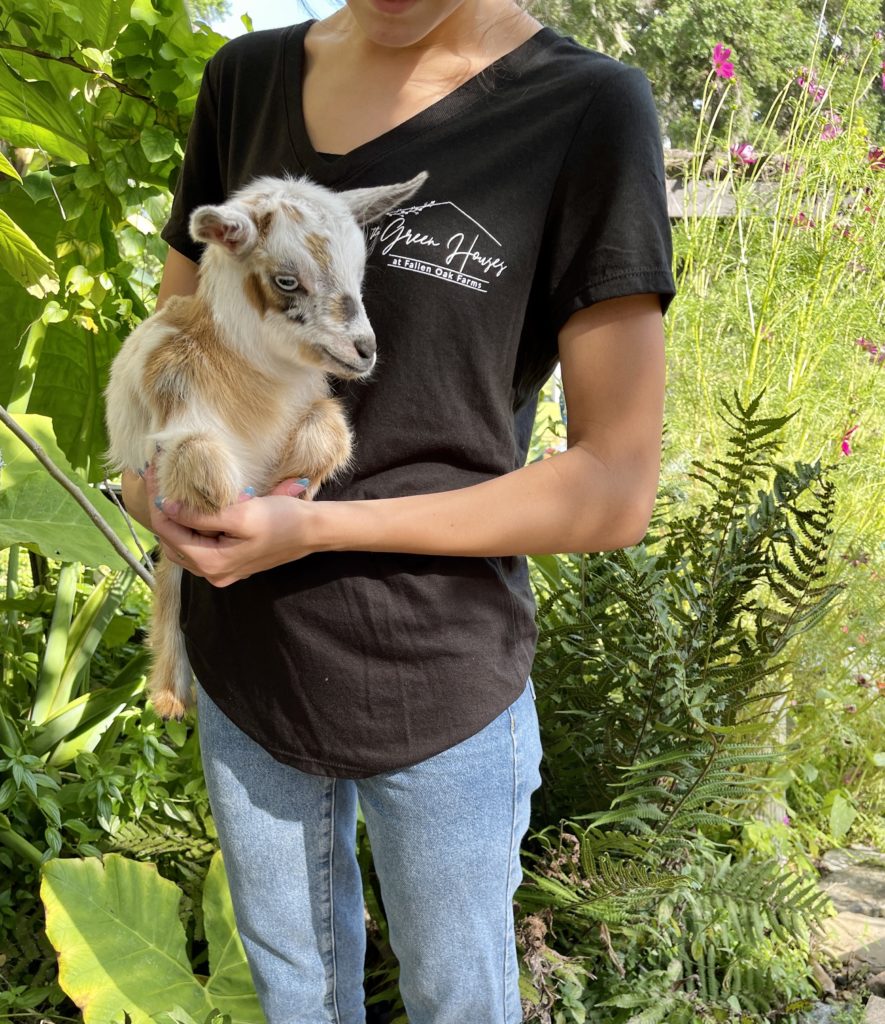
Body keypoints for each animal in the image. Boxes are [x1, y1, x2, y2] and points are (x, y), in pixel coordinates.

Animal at [105, 172, 430, 716]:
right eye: (287, 281)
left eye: (359, 272)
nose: (364, 349)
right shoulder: (169, 431)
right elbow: (203, 467)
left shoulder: (312, 406)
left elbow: (329, 429)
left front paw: (298, 479)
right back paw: (170, 694)